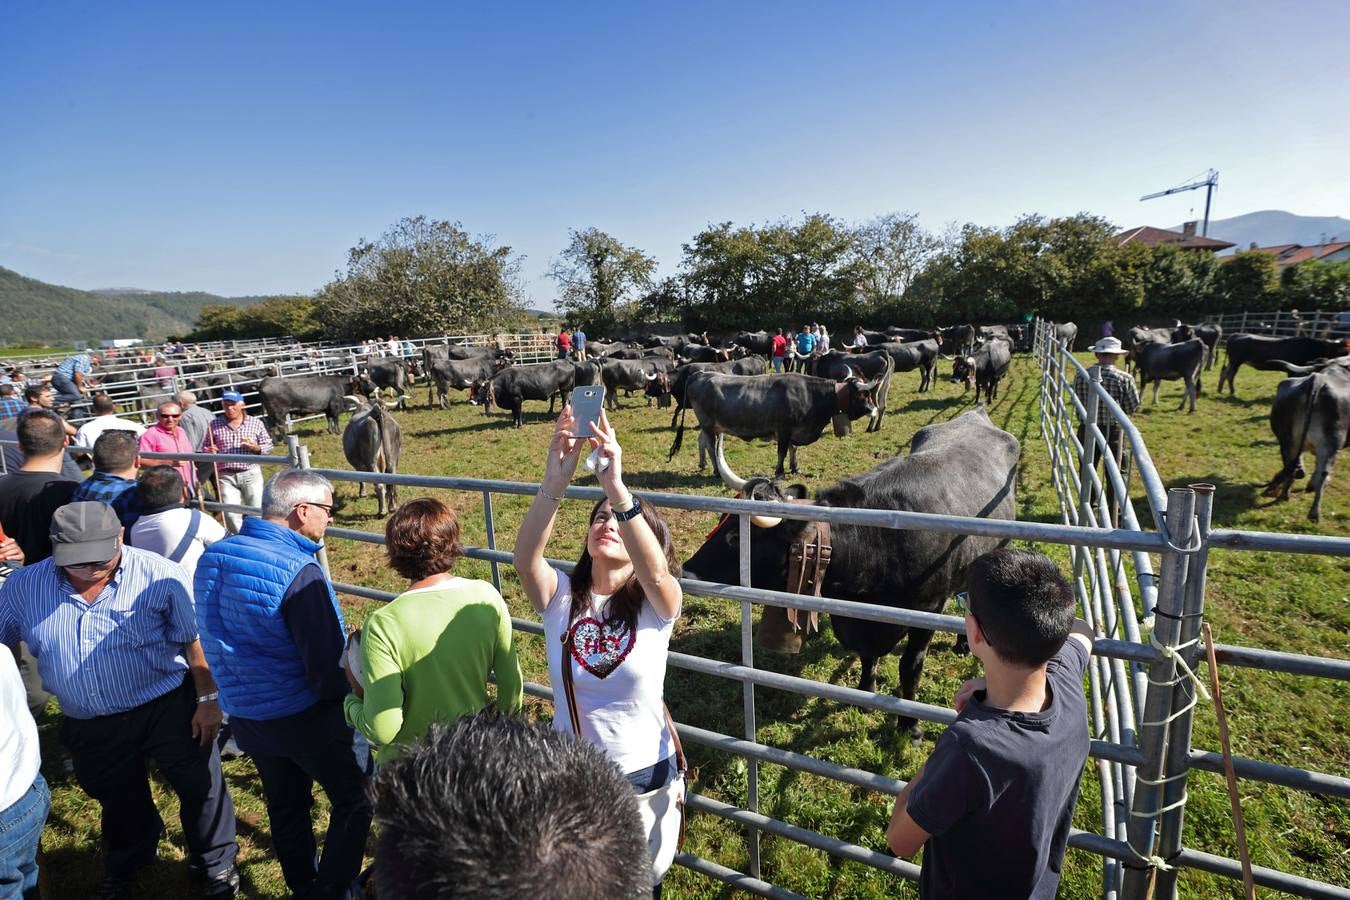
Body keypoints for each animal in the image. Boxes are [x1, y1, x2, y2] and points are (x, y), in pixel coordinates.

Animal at [666, 369, 880, 483]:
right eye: (865, 395)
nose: (875, 410)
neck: (810, 394)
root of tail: (701, 373)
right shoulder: (783, 429)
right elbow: (782, 451)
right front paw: (780, 472)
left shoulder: (793, 430)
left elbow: (793, 449)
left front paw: (795, 467)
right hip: (709, 425)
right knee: (710, 446)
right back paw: (717, 471)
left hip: (710, 426)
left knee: (701, 441)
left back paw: (702, 464)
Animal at [680, 410, 1015, 739]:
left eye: (735, 537)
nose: (686, 571)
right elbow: (868, 657)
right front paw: (865, 696)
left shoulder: (929, 611)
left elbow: (910, 666)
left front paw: (910, 725)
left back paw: (962, 644)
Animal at [1258, 356, 1344, 518]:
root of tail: (1316, 381)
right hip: (1329, 444)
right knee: (1322, 472)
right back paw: (1314, 512)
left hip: (1289, 441)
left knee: (1292, 465)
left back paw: (1283, 493)